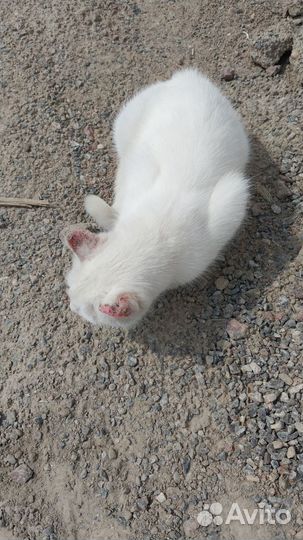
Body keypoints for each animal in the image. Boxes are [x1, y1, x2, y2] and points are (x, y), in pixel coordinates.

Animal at [63, 69, 251, 326]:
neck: (154, 232)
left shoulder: (234, 196)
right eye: (69, 289)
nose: (72, 307)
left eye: (87, 312)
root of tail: (188, 76)